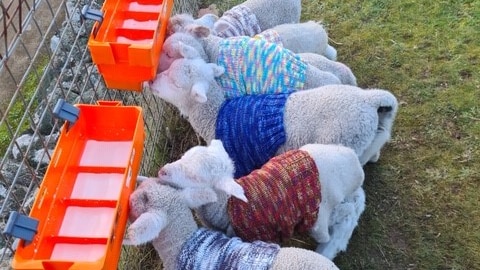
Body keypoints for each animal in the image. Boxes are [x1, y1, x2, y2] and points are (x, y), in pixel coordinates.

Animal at [157, 139, 364, 260]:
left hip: (320, 216)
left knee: (346, 215)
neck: (228, 206)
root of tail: (354, 162)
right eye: (183, 156)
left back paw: (330, 248)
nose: (161, 171)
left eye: (196, 177)